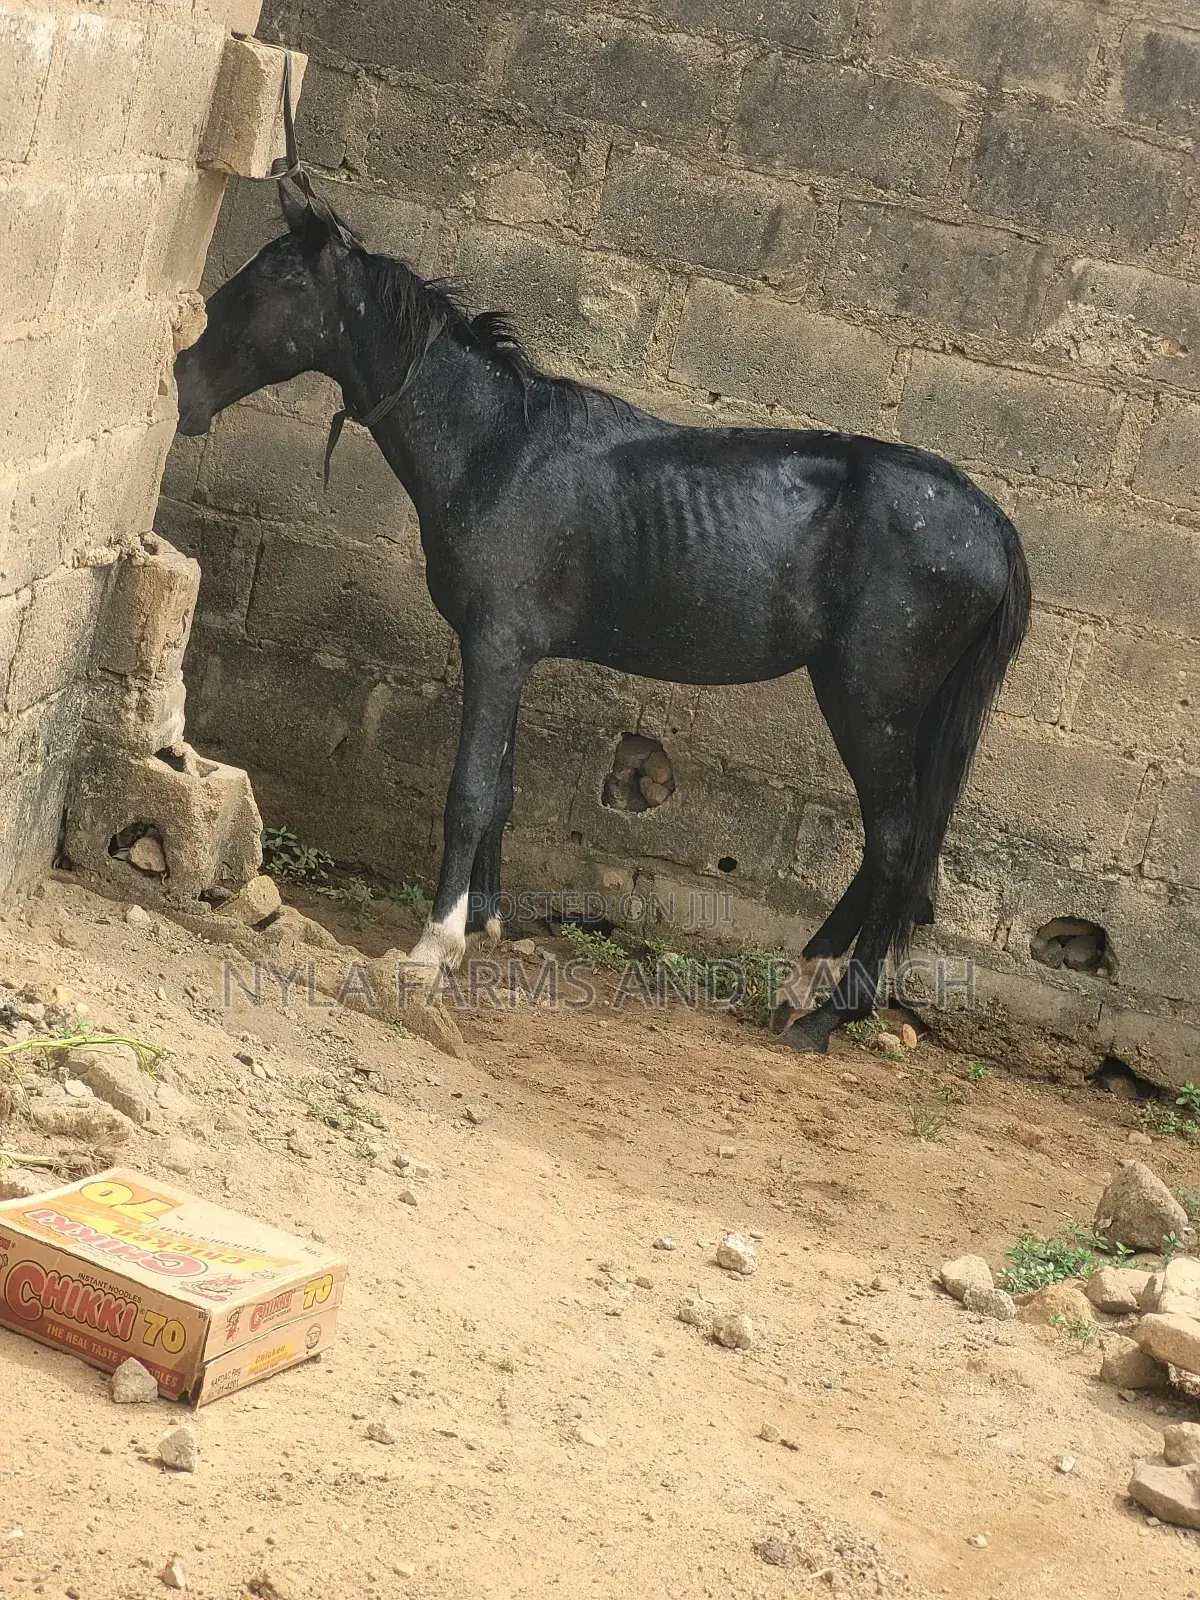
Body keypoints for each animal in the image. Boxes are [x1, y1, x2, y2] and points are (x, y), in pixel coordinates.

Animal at [174, 180, 1031, 1054]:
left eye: (268, 285)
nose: (181, 383)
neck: (496, 449)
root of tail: (993, 524)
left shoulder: (495, 648)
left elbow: (469, 792)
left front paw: (431, 952)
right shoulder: (512, 654)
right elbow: (502, 788)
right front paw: (483, 927)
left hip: (869, 703)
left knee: (895, 846)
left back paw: (828, 1014)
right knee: (891, 847)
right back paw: (800, 984)